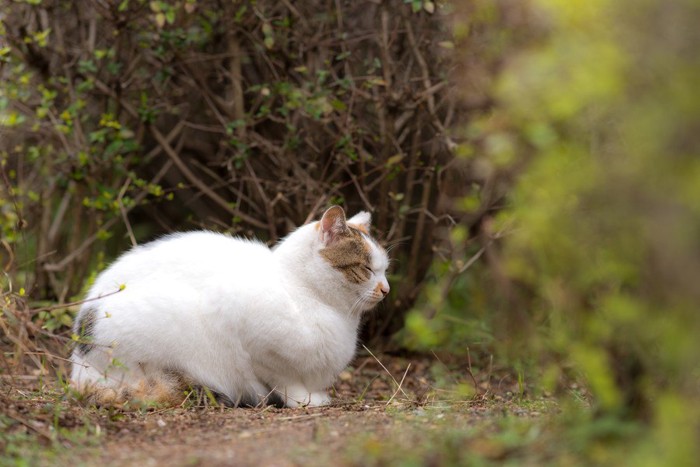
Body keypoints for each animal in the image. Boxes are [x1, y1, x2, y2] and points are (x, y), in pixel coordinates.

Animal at [70, 207, 392, 408]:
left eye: (384, 270)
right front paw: (306, 400)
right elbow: (285, 380)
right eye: (366, 269)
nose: (386, 289)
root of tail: (78, 365)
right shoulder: (248, 335)